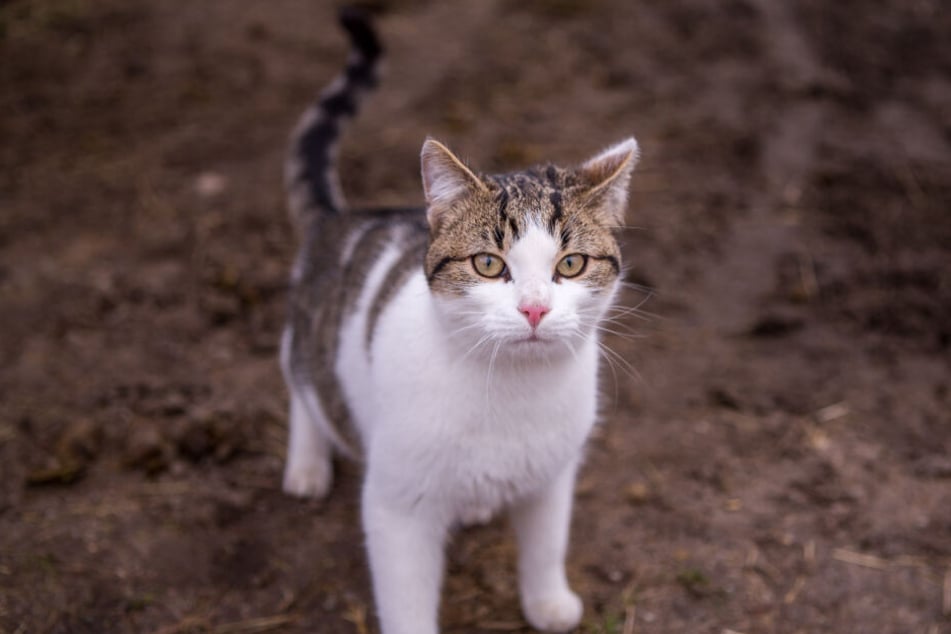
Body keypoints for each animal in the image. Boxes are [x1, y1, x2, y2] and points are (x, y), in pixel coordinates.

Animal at [280, 8, 640, 632]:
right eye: (488, 264)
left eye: (570, 264)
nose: (534, 308)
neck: (513, 391)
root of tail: (339, 217)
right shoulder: (397, 506)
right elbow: (406, 601)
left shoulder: (553, 476)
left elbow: (546, 544)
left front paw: (547, 602)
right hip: (311, 335)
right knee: (295, 365)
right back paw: (307, 461)